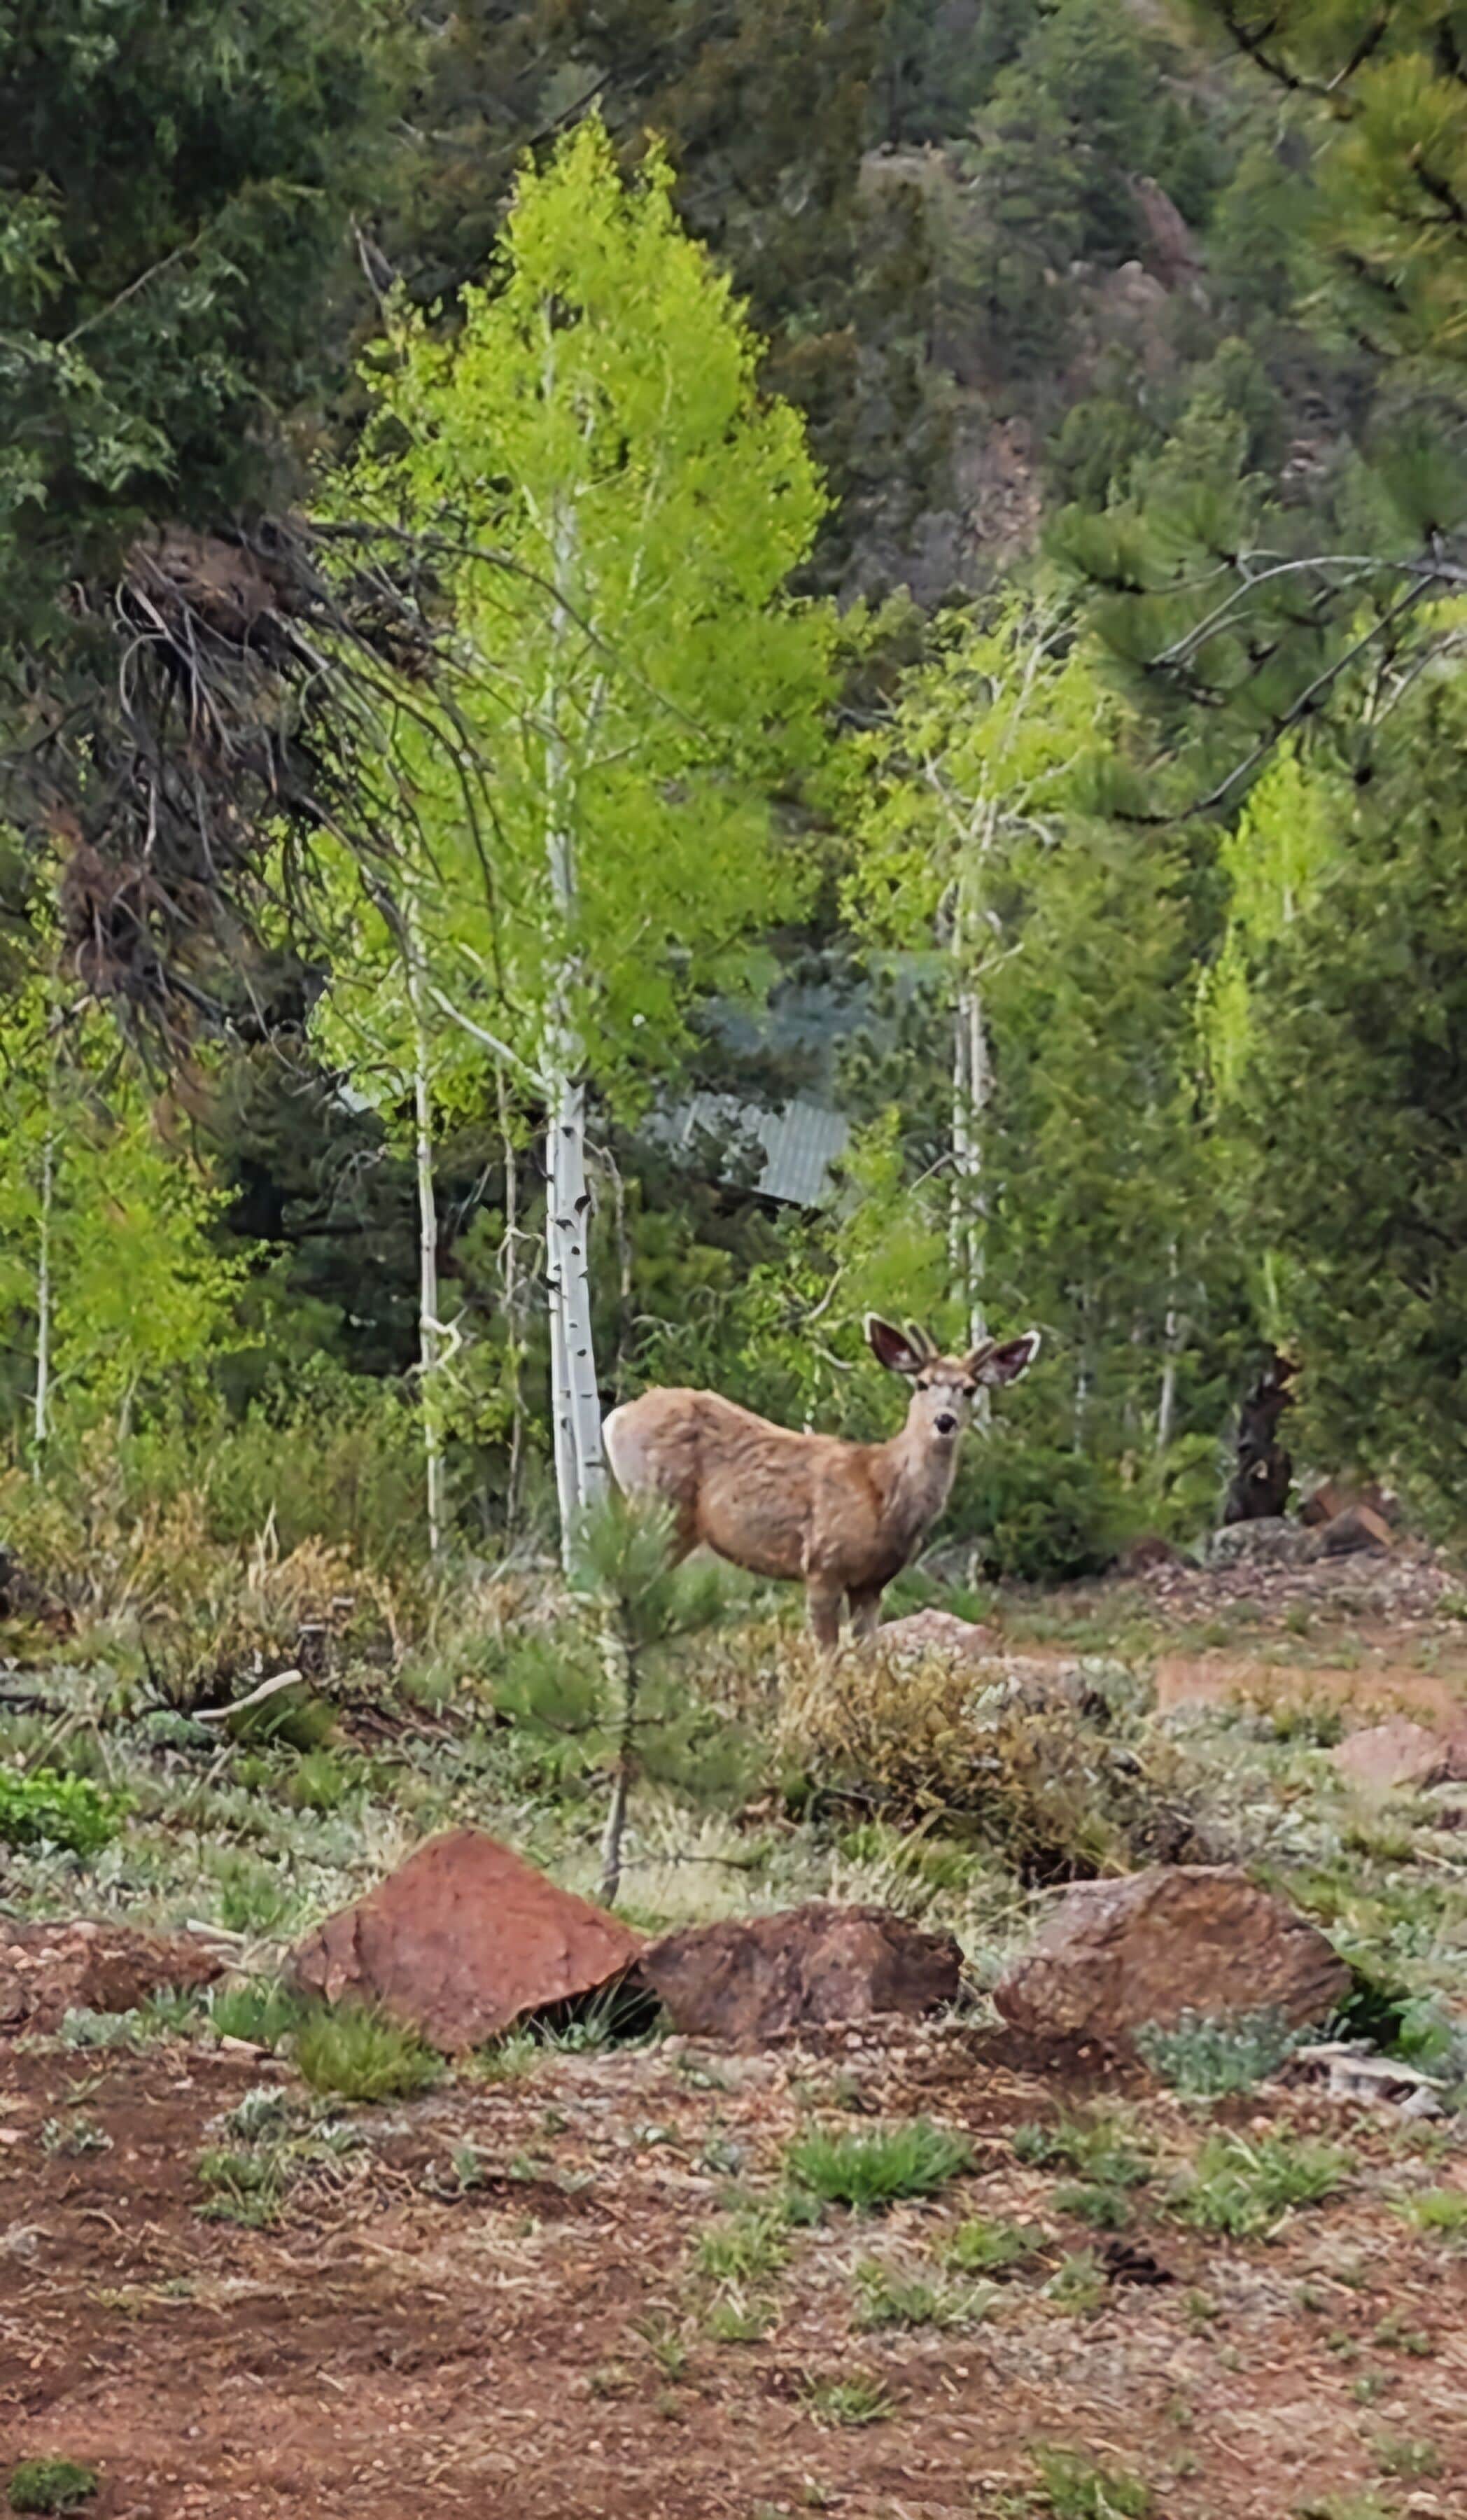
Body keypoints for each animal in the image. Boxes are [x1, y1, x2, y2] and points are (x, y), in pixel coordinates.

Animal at [602, 1315, 1041, 1651]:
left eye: (969, 1389)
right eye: (922, 1383)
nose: (945, 1421)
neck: (884, 1491)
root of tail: (615, 1419)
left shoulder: (872, 1583)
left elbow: (867, 1657)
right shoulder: (822, 1564)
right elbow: (827, 1658)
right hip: (657, 1506)